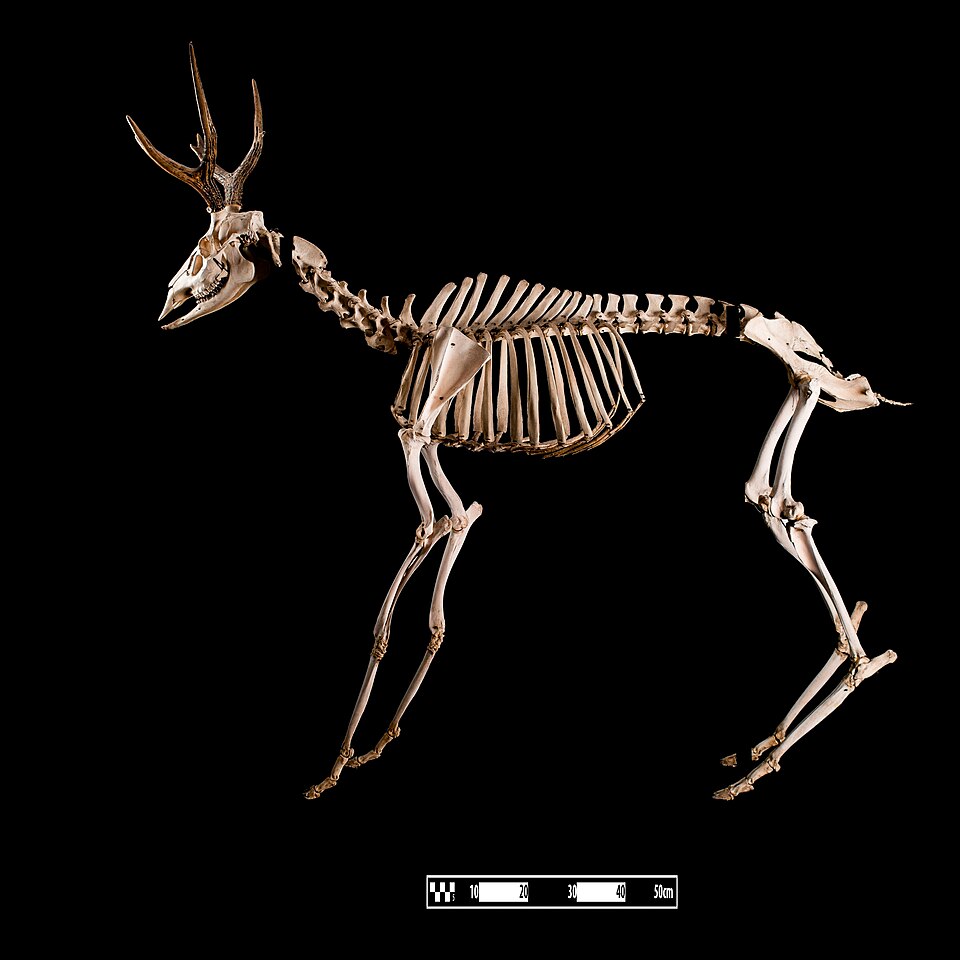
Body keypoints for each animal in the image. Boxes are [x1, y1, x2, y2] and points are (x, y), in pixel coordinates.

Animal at [127, 45, 902, 801]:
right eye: (201, 239)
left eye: (224, 246)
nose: (169, 298)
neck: (406, 334)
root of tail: (772, 328)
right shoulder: (436, 442)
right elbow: (459, 526)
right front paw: (379, 742)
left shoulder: (418, 430)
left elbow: (419, 546)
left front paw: (335, 766)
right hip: (793, 382)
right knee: (778, 492)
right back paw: (770, 739)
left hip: (789, 371)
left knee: (781, 502)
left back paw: (770, 754)